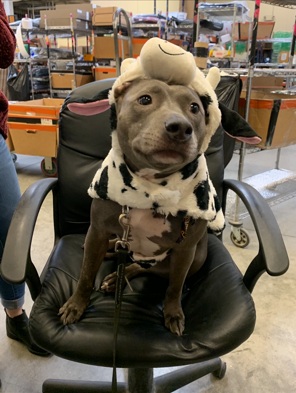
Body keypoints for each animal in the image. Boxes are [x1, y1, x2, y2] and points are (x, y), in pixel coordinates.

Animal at [59, 79, 213, 334]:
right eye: (145, 99)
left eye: (194, 107)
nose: (181, 127)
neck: (151, 188)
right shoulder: (97, 231)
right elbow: (86, 274)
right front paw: (76, 304)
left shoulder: (185, 251)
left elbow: (175, 287)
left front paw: (173, 312)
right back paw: (112, 249)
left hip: (196, 258)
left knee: (145, 268)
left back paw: (117, 277)